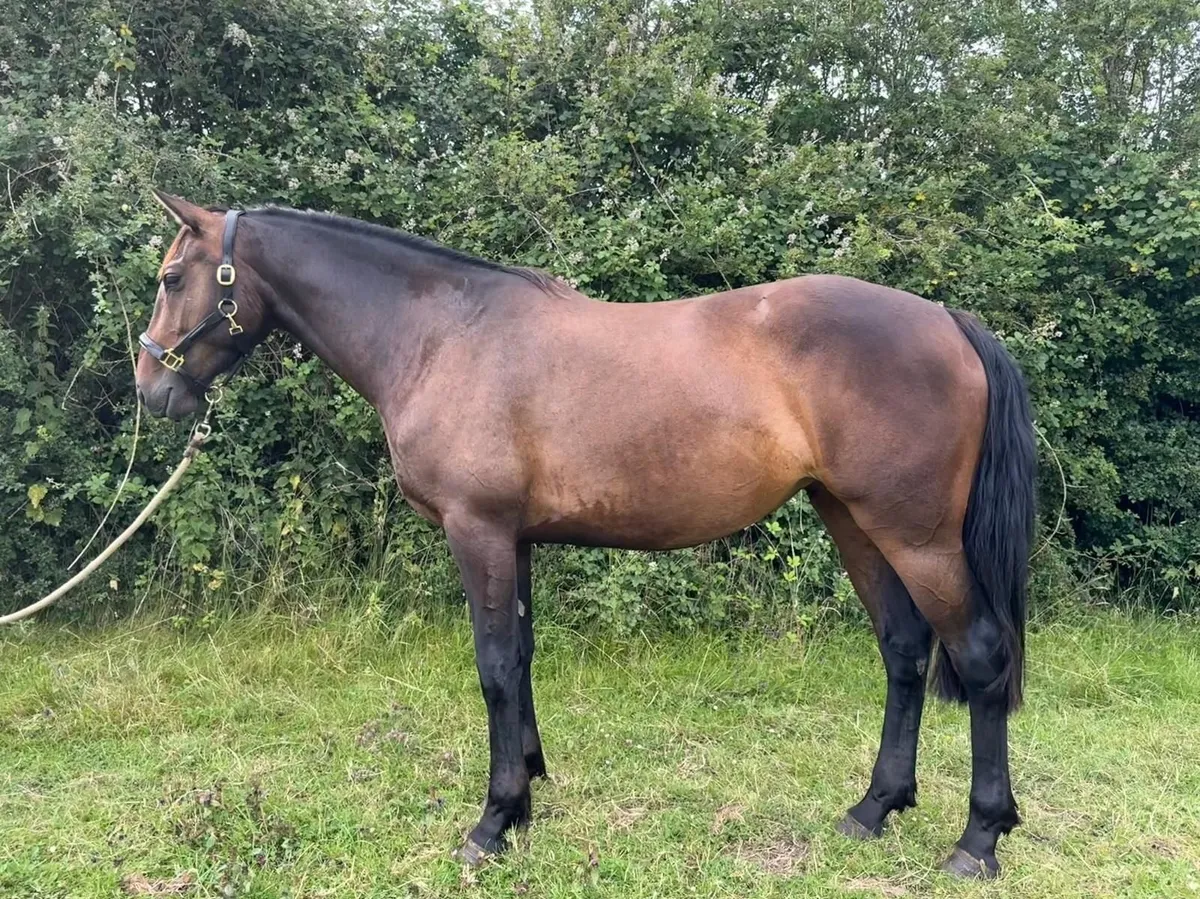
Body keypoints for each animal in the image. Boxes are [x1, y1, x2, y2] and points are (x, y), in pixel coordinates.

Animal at [135, 191, 1036, 878]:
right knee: (904, 650)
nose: (150, 387)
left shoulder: (478, 531)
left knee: (981, 655)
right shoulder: (515, 539)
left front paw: (493, 819)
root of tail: (947, 321)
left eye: (173, 277)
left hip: (915, 536)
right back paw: (874, 807)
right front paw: (530, 787)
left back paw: (977, 839)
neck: (442, 335)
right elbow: (522, 656)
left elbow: (494, 664)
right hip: (851, 518)